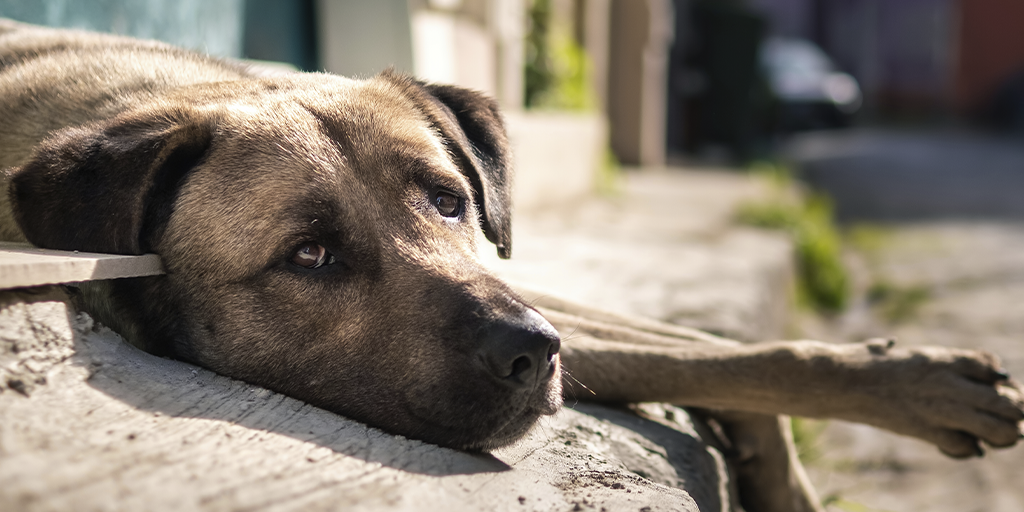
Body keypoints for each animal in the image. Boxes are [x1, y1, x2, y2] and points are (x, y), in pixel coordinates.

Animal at [0, 19, 1019, 512]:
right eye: (309, 254)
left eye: (449, 199)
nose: (535, 352)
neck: (153, 96)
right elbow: (703, 356)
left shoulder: (529, 284)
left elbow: (711, 348)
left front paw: (903, 389)